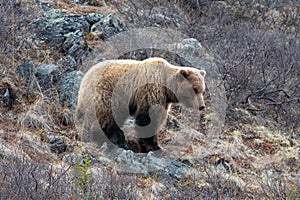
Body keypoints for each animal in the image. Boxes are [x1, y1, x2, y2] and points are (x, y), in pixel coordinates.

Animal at [75, 57, 206, 153]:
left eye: (202, 90)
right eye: (194, 89)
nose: (202, 106)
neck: (166, 86)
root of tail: (84, 80)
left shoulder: (164, 100)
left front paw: (155, 145)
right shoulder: (151, 91)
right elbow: (148, 119)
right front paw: (152, 146)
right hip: (109, 94)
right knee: (108, 117)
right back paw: (110, 140)